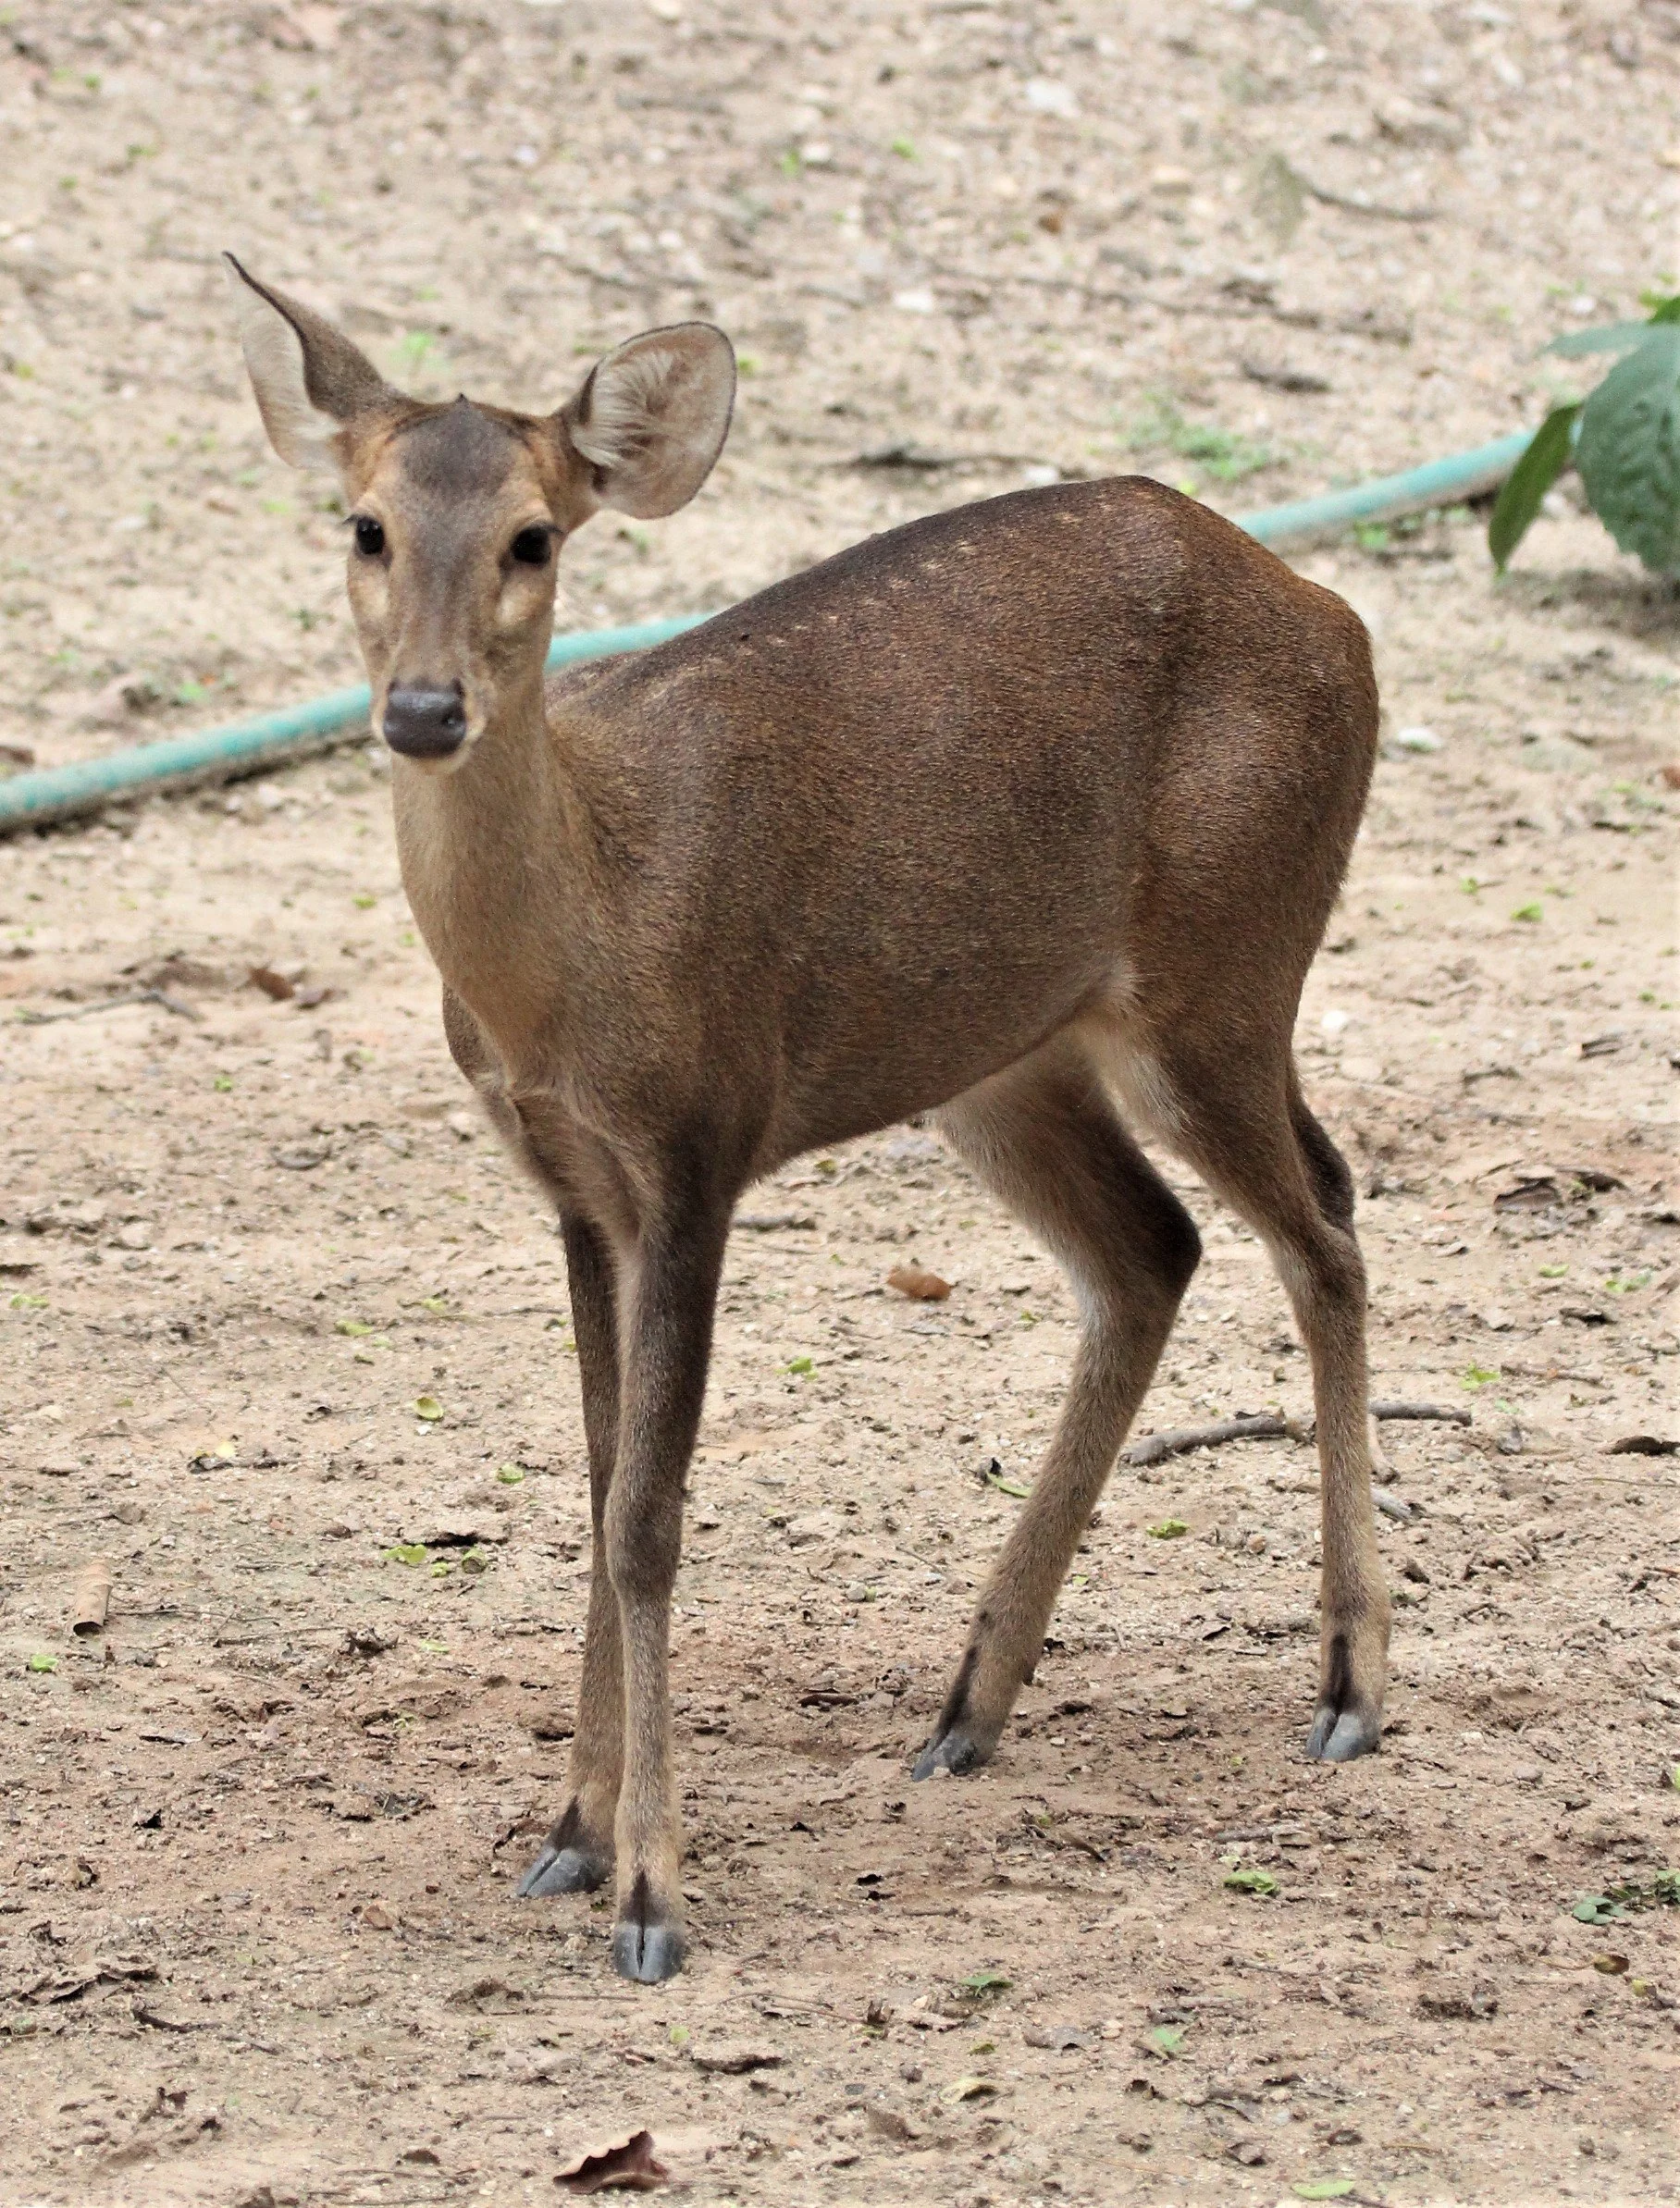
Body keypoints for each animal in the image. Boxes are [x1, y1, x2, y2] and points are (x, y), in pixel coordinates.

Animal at [225, 254, 1390, 1983]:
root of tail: (1335, 614)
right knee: (1156, 1247)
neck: (579, 951)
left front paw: (651, 1891)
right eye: (362, 524)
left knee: (1324, 1228)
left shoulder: (702, 1141)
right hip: (1003, 1052)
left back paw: (1352, 1685)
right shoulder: (574, 1187)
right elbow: (595, 1486)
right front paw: (568, 1834)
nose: (424, 707)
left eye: (535, 536)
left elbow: (646, 1513)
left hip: (1225, 965)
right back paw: (966, 1708)